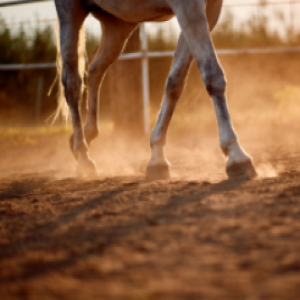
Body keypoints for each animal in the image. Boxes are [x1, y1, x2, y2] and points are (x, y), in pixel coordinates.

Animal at [53, 0, 255, 180]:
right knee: (72, 84)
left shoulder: (209, 9)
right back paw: (83, 158)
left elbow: (175, 82)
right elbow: (212, 74)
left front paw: (157, 159)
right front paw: (237, 156)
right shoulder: (188, 5)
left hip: (118, 23)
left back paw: (85, 136)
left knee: (95, 68)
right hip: (71, 13)